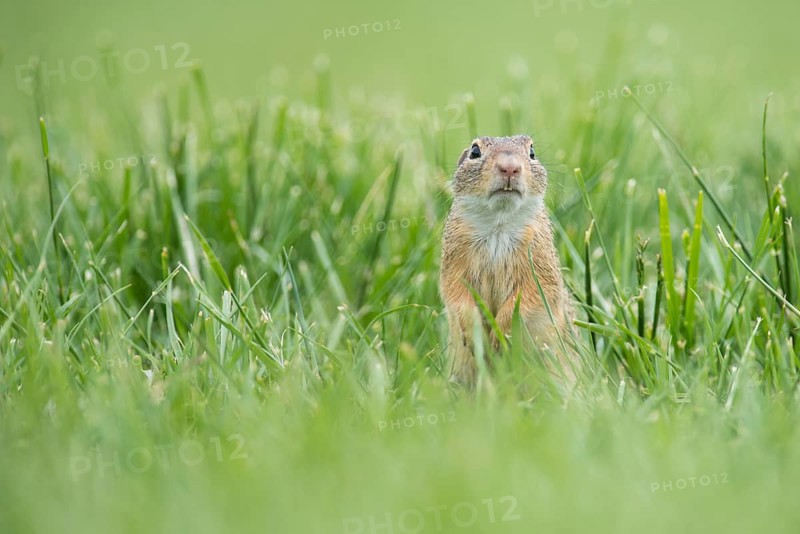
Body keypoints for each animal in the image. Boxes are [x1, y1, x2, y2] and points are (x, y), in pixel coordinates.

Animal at [439, 135, 576, 384]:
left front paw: (501, 335)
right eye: (474, 152)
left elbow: (533, 295)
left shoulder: (540, 261)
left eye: (532, 152)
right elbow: (455, 293)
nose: (510, 167)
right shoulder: (454, 260)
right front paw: (475, 334)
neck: (499, 225)